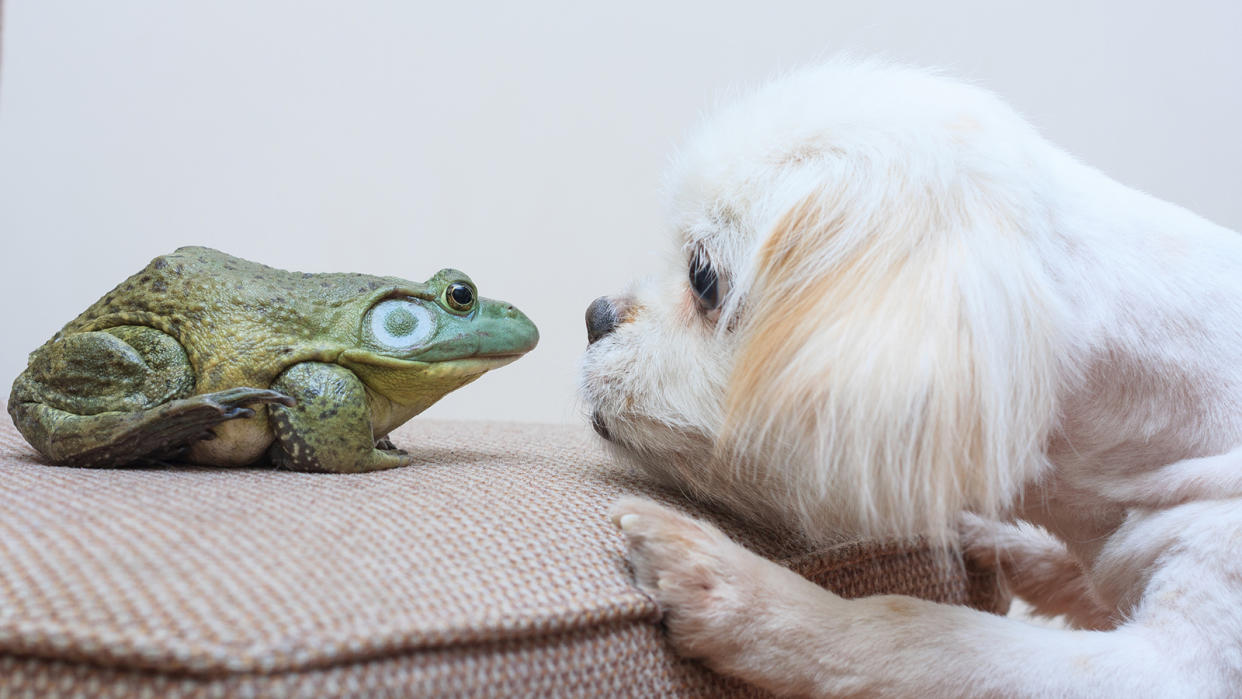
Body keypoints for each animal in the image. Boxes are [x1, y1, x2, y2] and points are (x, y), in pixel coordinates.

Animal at [581, 61, 1242, 699]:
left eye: (703, 278)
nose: (593, 317)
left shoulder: (1179, 666)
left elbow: (909, 630)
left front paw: (736, 590)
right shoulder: (1096, 571)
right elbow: (1052, 564)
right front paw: (971, 528)